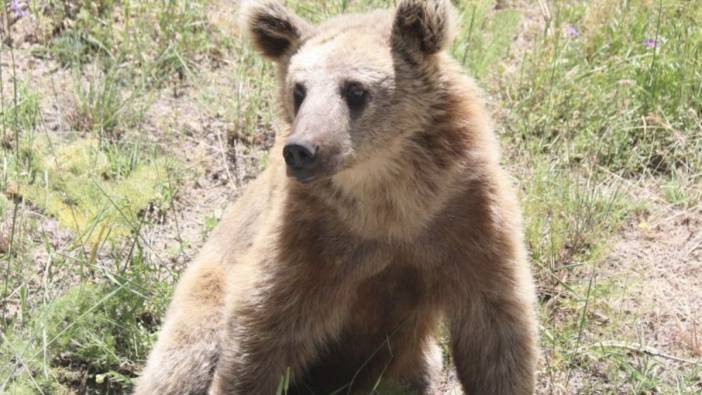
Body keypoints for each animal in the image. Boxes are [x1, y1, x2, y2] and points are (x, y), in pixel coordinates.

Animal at [136, 0, 540, 394]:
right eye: (299, 90)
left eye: (356, 89)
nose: (301, 150)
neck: (390, 198)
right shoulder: (312, 234)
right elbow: (263, 325)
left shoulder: (465, 218)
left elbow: (494, 328)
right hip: (205, 288)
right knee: (186, 356)